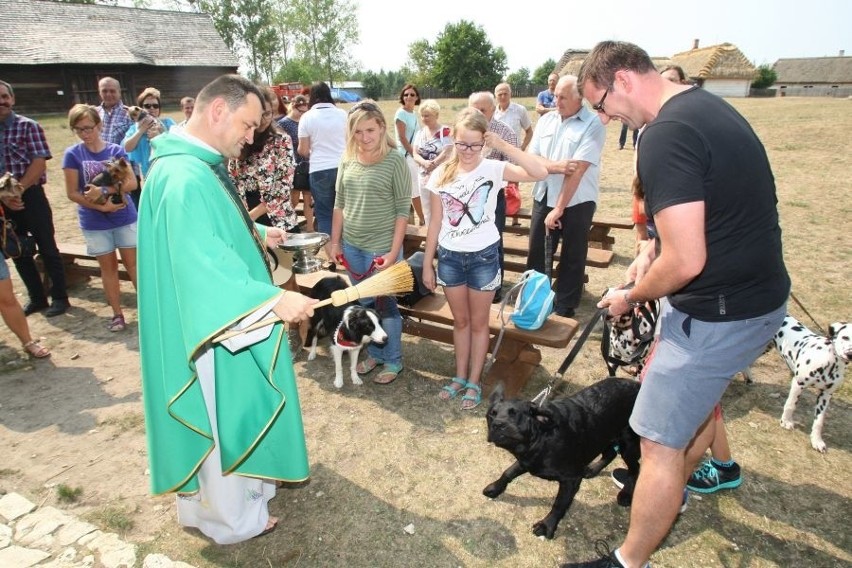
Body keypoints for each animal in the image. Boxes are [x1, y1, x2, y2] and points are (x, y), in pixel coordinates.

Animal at [486, 378, 640, 536]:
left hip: (628, 444)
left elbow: (559, 504)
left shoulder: (571, 479)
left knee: (635, 468)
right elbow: (508, 472)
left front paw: (547, 525)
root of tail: (637, 384)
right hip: (604, 437)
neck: (542, 436)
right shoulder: (527, 460)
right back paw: (592, 470)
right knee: (611, 453)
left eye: (515, 414)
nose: (497, 424)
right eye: (492, 414)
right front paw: (495, 487)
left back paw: (626, 494)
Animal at [776, 316, 848, 452]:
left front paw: (817, 441)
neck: (830, 362)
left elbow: (819, 421)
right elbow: (790, 405)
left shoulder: (825, 395)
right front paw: (785, 421)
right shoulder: (798, 384)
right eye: (846, 337)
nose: (849, 354)